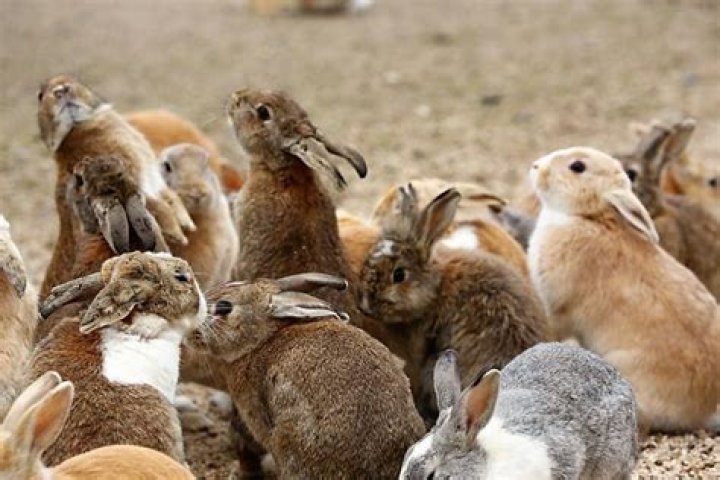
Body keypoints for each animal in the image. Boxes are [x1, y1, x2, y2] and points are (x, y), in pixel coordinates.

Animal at [36, 75, 195, 298]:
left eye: (74, 80)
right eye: (40, 95)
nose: (61, 90)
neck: (77, 129)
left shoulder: (153, 181)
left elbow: (170, 199)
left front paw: (187, 227)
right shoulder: (141, 185)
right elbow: (160, 207)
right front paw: (179, 236)